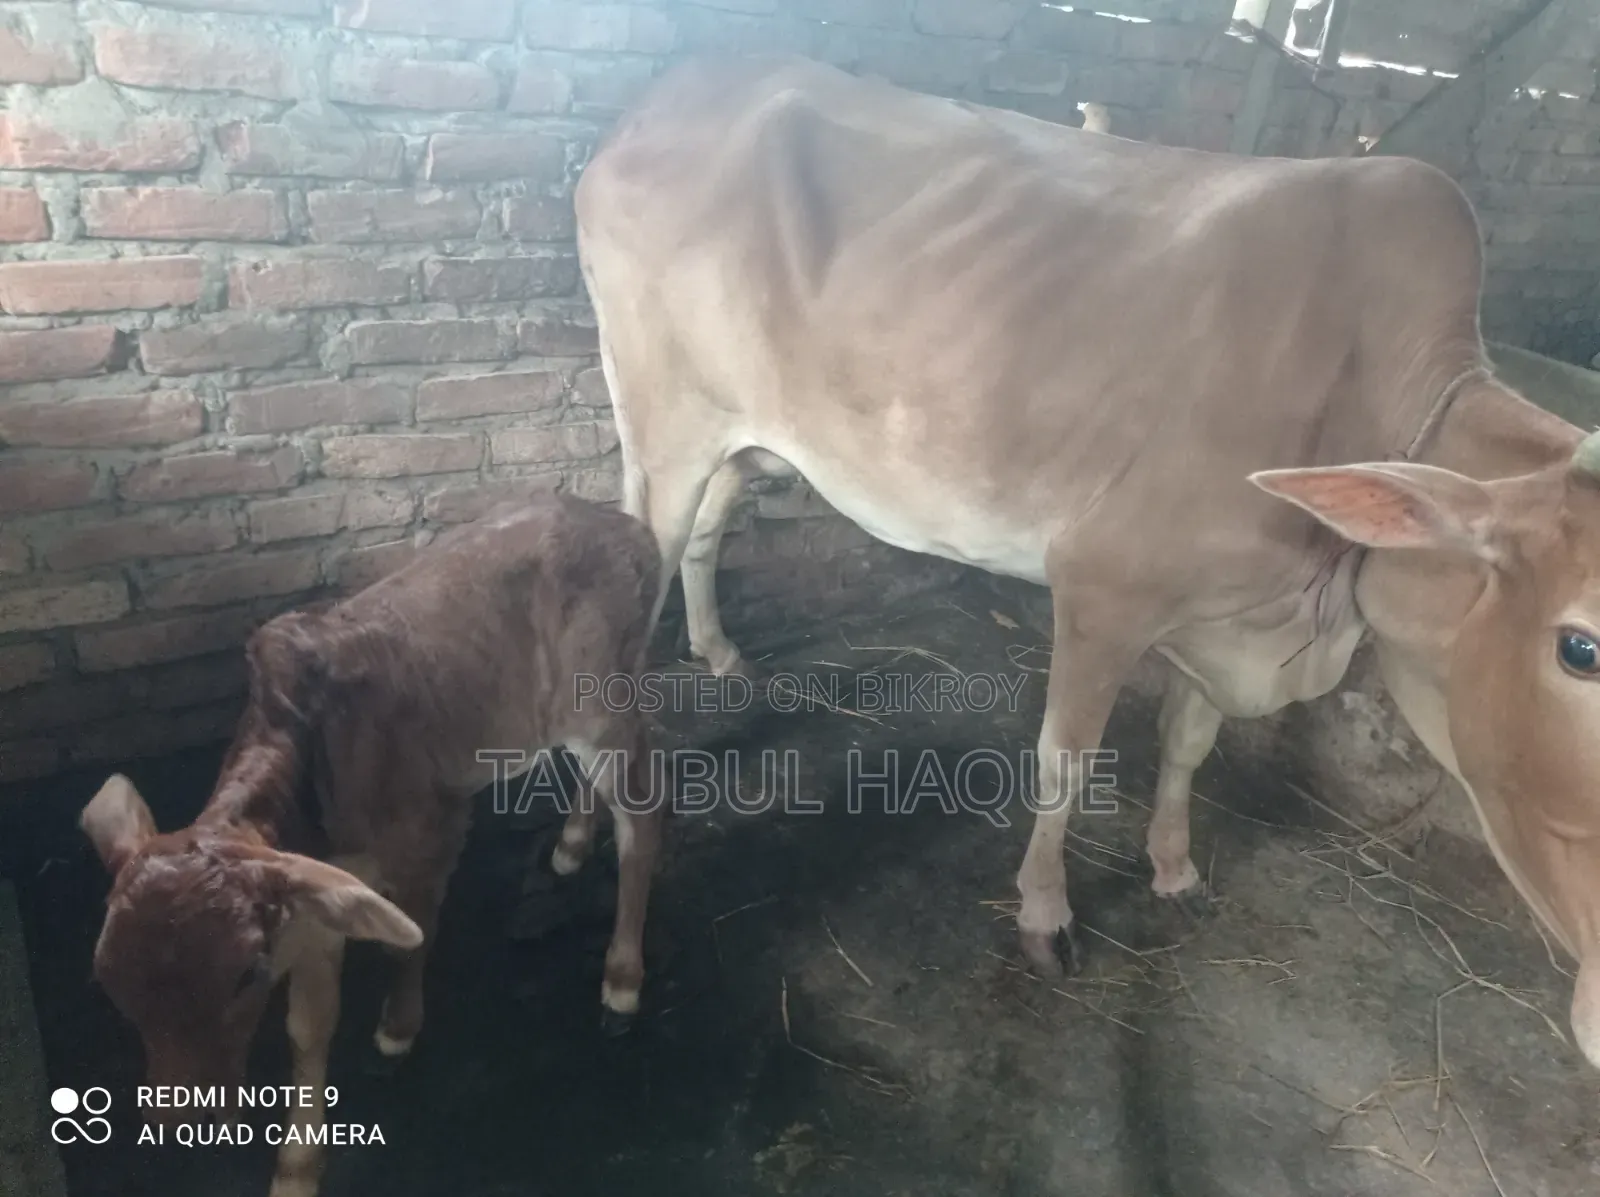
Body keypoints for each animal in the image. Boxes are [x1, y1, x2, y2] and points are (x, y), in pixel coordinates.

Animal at [78, 491, 665, 1197]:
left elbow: (412, 939)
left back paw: (622, 981)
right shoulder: (309, 896)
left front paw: (396, 1030)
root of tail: (625, 526)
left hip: (605, 708)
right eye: (109, 983)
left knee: (644, 817)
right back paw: (572, 844)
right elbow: (309, 1024)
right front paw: (296, 1171)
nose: (178, 1128)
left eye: (246, 974)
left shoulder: (433, 832)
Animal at [572, 52, 1600, 1070]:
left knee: (711, 528)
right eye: (1580, 647)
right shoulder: (1107, 585)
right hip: (663, 432)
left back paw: (720, 655)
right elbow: (1064, 760)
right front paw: (1044, 913)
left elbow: (1187, 744)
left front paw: (1175, 867)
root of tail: (665, 99)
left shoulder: (1217, 614)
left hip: (742, 437)